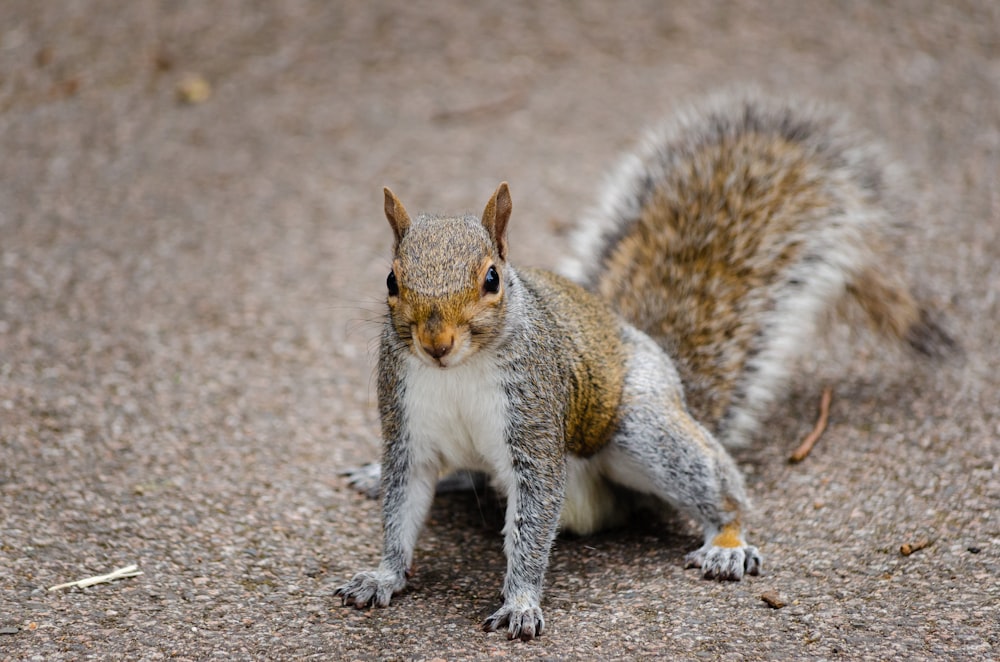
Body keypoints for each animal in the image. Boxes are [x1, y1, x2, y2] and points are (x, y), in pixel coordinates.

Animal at [334, 91, 952, 640]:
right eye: (391, 280)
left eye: (492, 278)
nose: (436, 341)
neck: (455, 372)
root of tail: (673, 379)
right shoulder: (408, 425)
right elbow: (401, 503)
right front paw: (383, 574)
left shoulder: (536, 421)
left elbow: (532, 521)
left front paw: (521, 603)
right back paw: (390, 475)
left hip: (641, 428)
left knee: (716, 483)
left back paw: (727, 541)